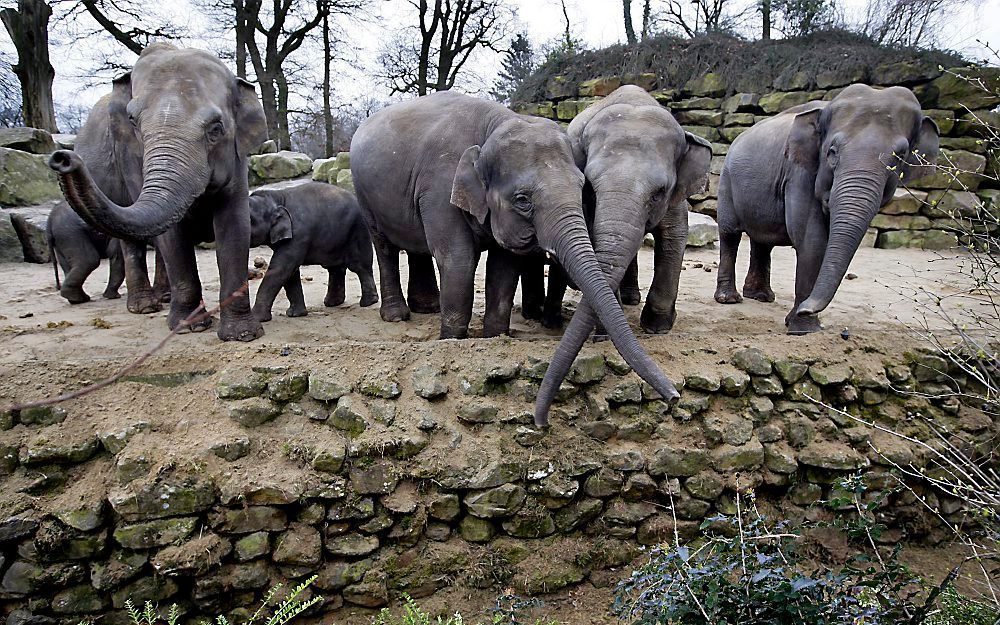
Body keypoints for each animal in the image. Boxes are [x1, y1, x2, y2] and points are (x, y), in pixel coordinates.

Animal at [47, 43, 270, 342]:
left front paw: (241, 335)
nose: (63, 158)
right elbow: (172, 236)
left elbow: (233, 224)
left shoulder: (236, 156)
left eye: (216, 128)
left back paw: (163, 298)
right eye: (133, 121)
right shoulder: (129, 156)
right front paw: (188, 328)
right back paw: (145, 306)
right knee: (134, 240)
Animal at [248, 178, 376, 320]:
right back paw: (332, 303)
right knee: (335, 268)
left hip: (359, 228)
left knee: (359, 266)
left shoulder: (299, 234)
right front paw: (296, 314)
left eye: (250, 219)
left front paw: (257, 318)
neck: (276, 197)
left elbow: (282, 268)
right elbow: (290, 271)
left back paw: (368, 302)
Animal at [352, 90, 680, 408]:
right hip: (364, 195)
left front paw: (494, 338)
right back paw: (397, 316)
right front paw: (451, 342)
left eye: (582, 186)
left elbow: (504, 266)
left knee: (416, 247)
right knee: (383, 246)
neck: (491, 128)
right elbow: (457, 259)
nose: (674, 397)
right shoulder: (439, 187)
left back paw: (427, 308)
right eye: (523, 200)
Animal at [532, 85, 712, 426]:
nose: (674, 397)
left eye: (659, 192)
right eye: (590, 186)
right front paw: (603, 336)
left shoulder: (677, 195)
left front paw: (657, 326)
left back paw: (630, 300)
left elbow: (674, 237)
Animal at [712, 86, 936, 336]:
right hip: (727, 179)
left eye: (900, 157)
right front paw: (803, 328)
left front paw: (801, 323)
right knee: (730, 233)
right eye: (832, 152)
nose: (804, 310)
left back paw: (761, 297)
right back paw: (729, 299)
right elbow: (811, 239)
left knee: (762, 240)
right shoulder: (799, 171)